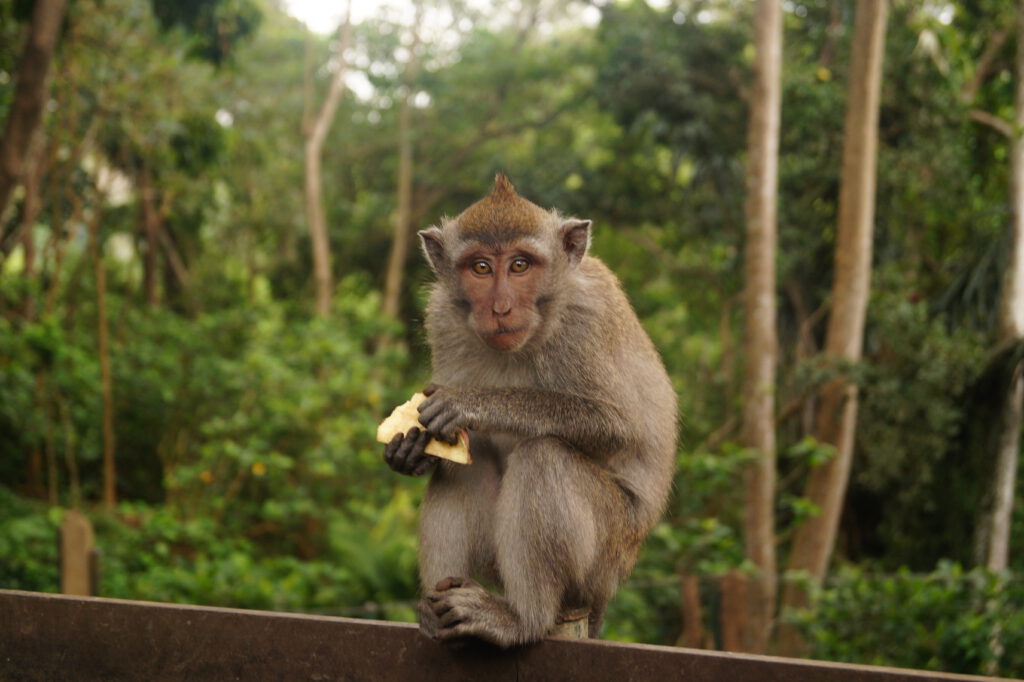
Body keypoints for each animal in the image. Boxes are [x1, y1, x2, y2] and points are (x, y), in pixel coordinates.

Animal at [380, 173, 675, 647]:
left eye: (520, 265)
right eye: (481, 268)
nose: (500, 307)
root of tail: (609, 588)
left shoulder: (585, 321)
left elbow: (619, 426)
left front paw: (473, 403)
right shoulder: (442, 316)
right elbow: (460, 446)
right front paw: (409, 450)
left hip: (605, 555)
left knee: (544, 456)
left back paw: (522, 618)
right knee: (467, 468)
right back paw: (437, 610)